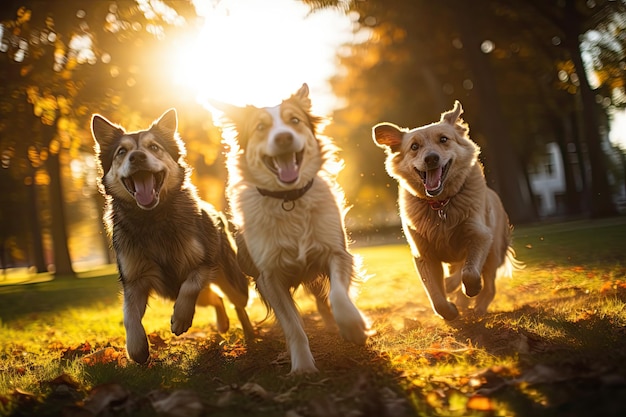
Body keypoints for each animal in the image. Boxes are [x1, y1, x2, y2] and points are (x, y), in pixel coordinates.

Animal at [211, 83, 366, 372]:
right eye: (261, 127)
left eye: (294, 121)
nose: (283, 137)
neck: (288, 199)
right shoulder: (269, 277)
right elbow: (293, 325)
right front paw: (303, 367)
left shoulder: (336, 252)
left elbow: (338, 296)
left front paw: (353, 327)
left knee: (323, 299)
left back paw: (333, 326)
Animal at [370, 102, 516, 320]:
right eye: (414, 146)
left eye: (444, 139)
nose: (431, 158)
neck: (441, 205)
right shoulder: (423, 254)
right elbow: (436, 297)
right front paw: (450, 312)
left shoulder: (480, 235)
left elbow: (469, 272)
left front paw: (471, 288)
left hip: (493, 251)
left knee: (489, 286)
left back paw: (477, 308)